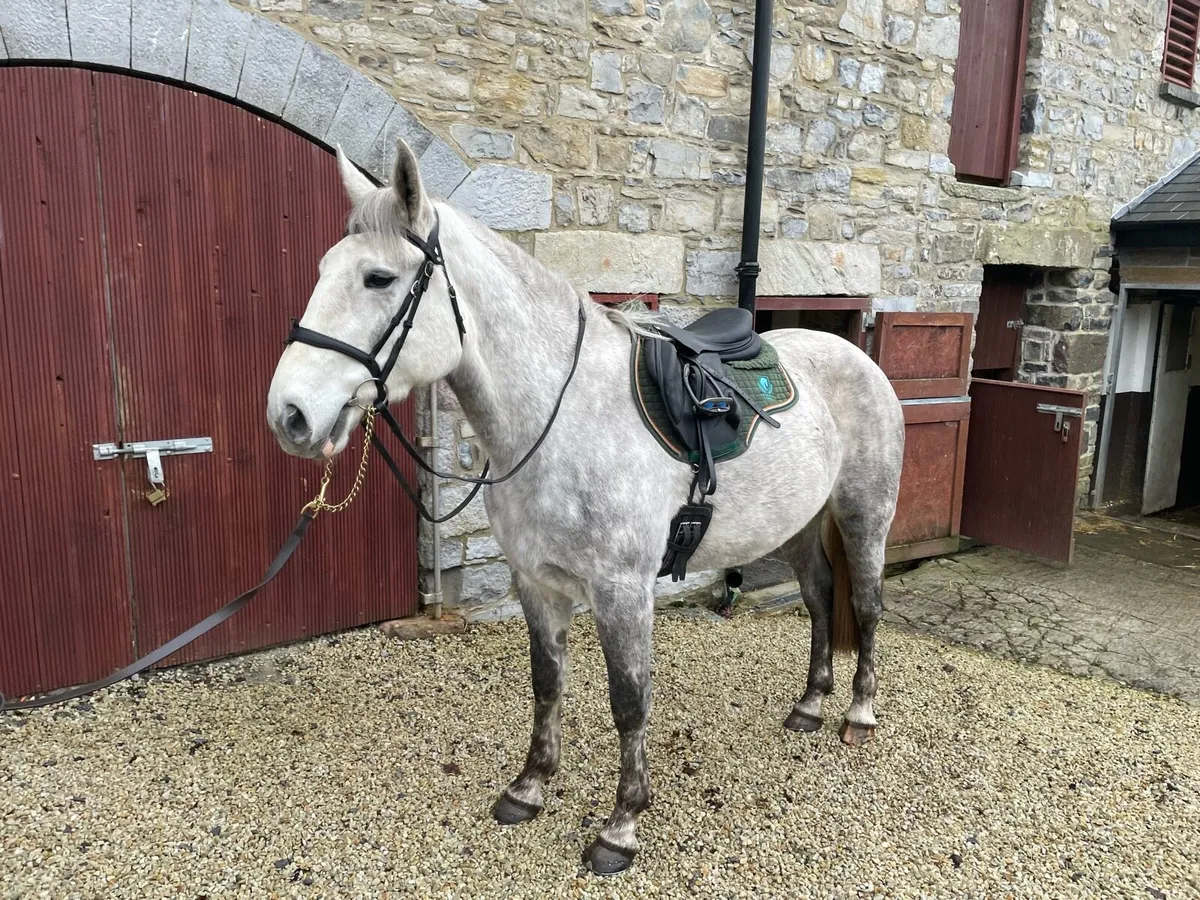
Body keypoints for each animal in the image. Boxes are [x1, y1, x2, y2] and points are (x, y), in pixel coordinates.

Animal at [266, 139, 905, 875]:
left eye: (377, 278)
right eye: (324, 270)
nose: (289, 415)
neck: (562, 417)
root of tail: (853, 355)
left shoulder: (622, 589)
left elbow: (629, 702)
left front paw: (621, 827)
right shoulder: (537, 583)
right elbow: (547, 682)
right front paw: (528, 788)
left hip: (864, 513)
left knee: (865, 605)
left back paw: (857, 715)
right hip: (797, 524)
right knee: (820, 597)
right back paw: (809, 706)